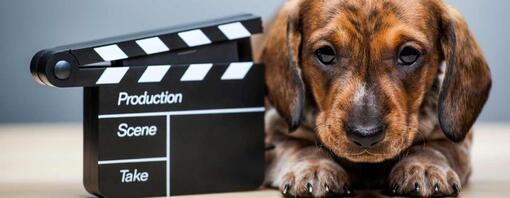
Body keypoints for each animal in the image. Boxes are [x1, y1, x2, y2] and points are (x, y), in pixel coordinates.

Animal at [256, 0, 492, 196]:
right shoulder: (274, 132)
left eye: (409, 54)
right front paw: (314, 167)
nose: (365, 135)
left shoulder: (454, 140)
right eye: (325, 53)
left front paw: (425, 166)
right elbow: (300, 146)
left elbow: (437, 147)